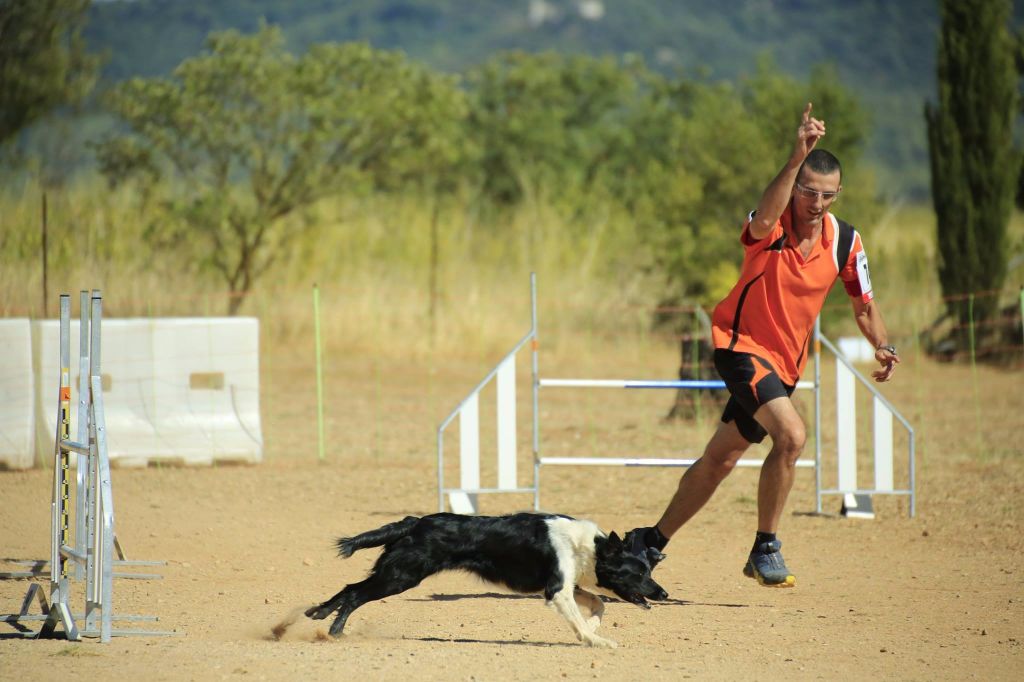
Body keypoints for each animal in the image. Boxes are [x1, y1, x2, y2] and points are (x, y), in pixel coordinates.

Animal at [303, 512, 667, 647]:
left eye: (648, 571)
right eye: (638, 574)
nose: (663, 594)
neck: (589, 545)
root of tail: (415, 522)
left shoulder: (566, 586)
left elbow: (598, 605)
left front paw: (592, 629)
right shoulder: (558, 590)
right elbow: (581, 616)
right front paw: (595, 640)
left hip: (395, 573)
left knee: (348, 589)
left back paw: (316, 614)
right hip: (400, 575)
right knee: (354, 593)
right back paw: (334, 630)